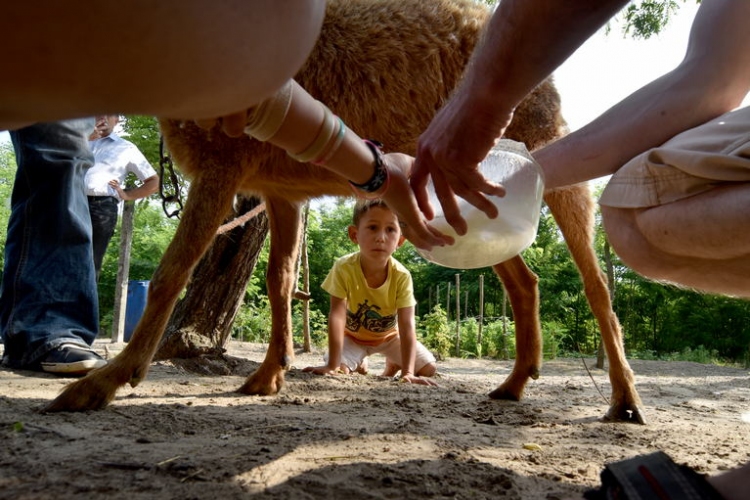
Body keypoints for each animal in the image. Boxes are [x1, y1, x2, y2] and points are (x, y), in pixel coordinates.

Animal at [45, 0, 648, 424]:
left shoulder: (223, 165)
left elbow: (173, 272)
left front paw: (101, 384)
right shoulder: (279, 191)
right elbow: (280, 278)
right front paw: (268, 377)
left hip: (545, 151)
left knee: (597, 286)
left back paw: (624, 399)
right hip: (471, 203)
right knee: (525, 280)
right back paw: (515, 383)